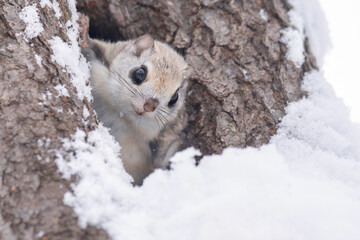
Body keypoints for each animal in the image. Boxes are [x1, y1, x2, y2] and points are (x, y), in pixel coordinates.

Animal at [81, 27, 188, 186]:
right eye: (140, 73)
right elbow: (96, 47)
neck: (123, 115)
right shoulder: (108, 55)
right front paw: (85, 34)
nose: (149, 106)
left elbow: (162, 150)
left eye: (175, 98)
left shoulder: (168, 129)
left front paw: (162, 163)